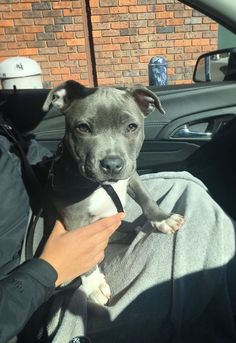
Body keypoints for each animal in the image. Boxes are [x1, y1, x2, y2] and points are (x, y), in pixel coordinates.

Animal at [42, 81, 184, 306]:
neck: (101, 185)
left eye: (132, 127)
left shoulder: (131, 175)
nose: (112, 164)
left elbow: (146, 198)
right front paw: (93, 285)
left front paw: (163, 218)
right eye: (83, 128)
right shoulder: (75, 217)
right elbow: (82, 251)